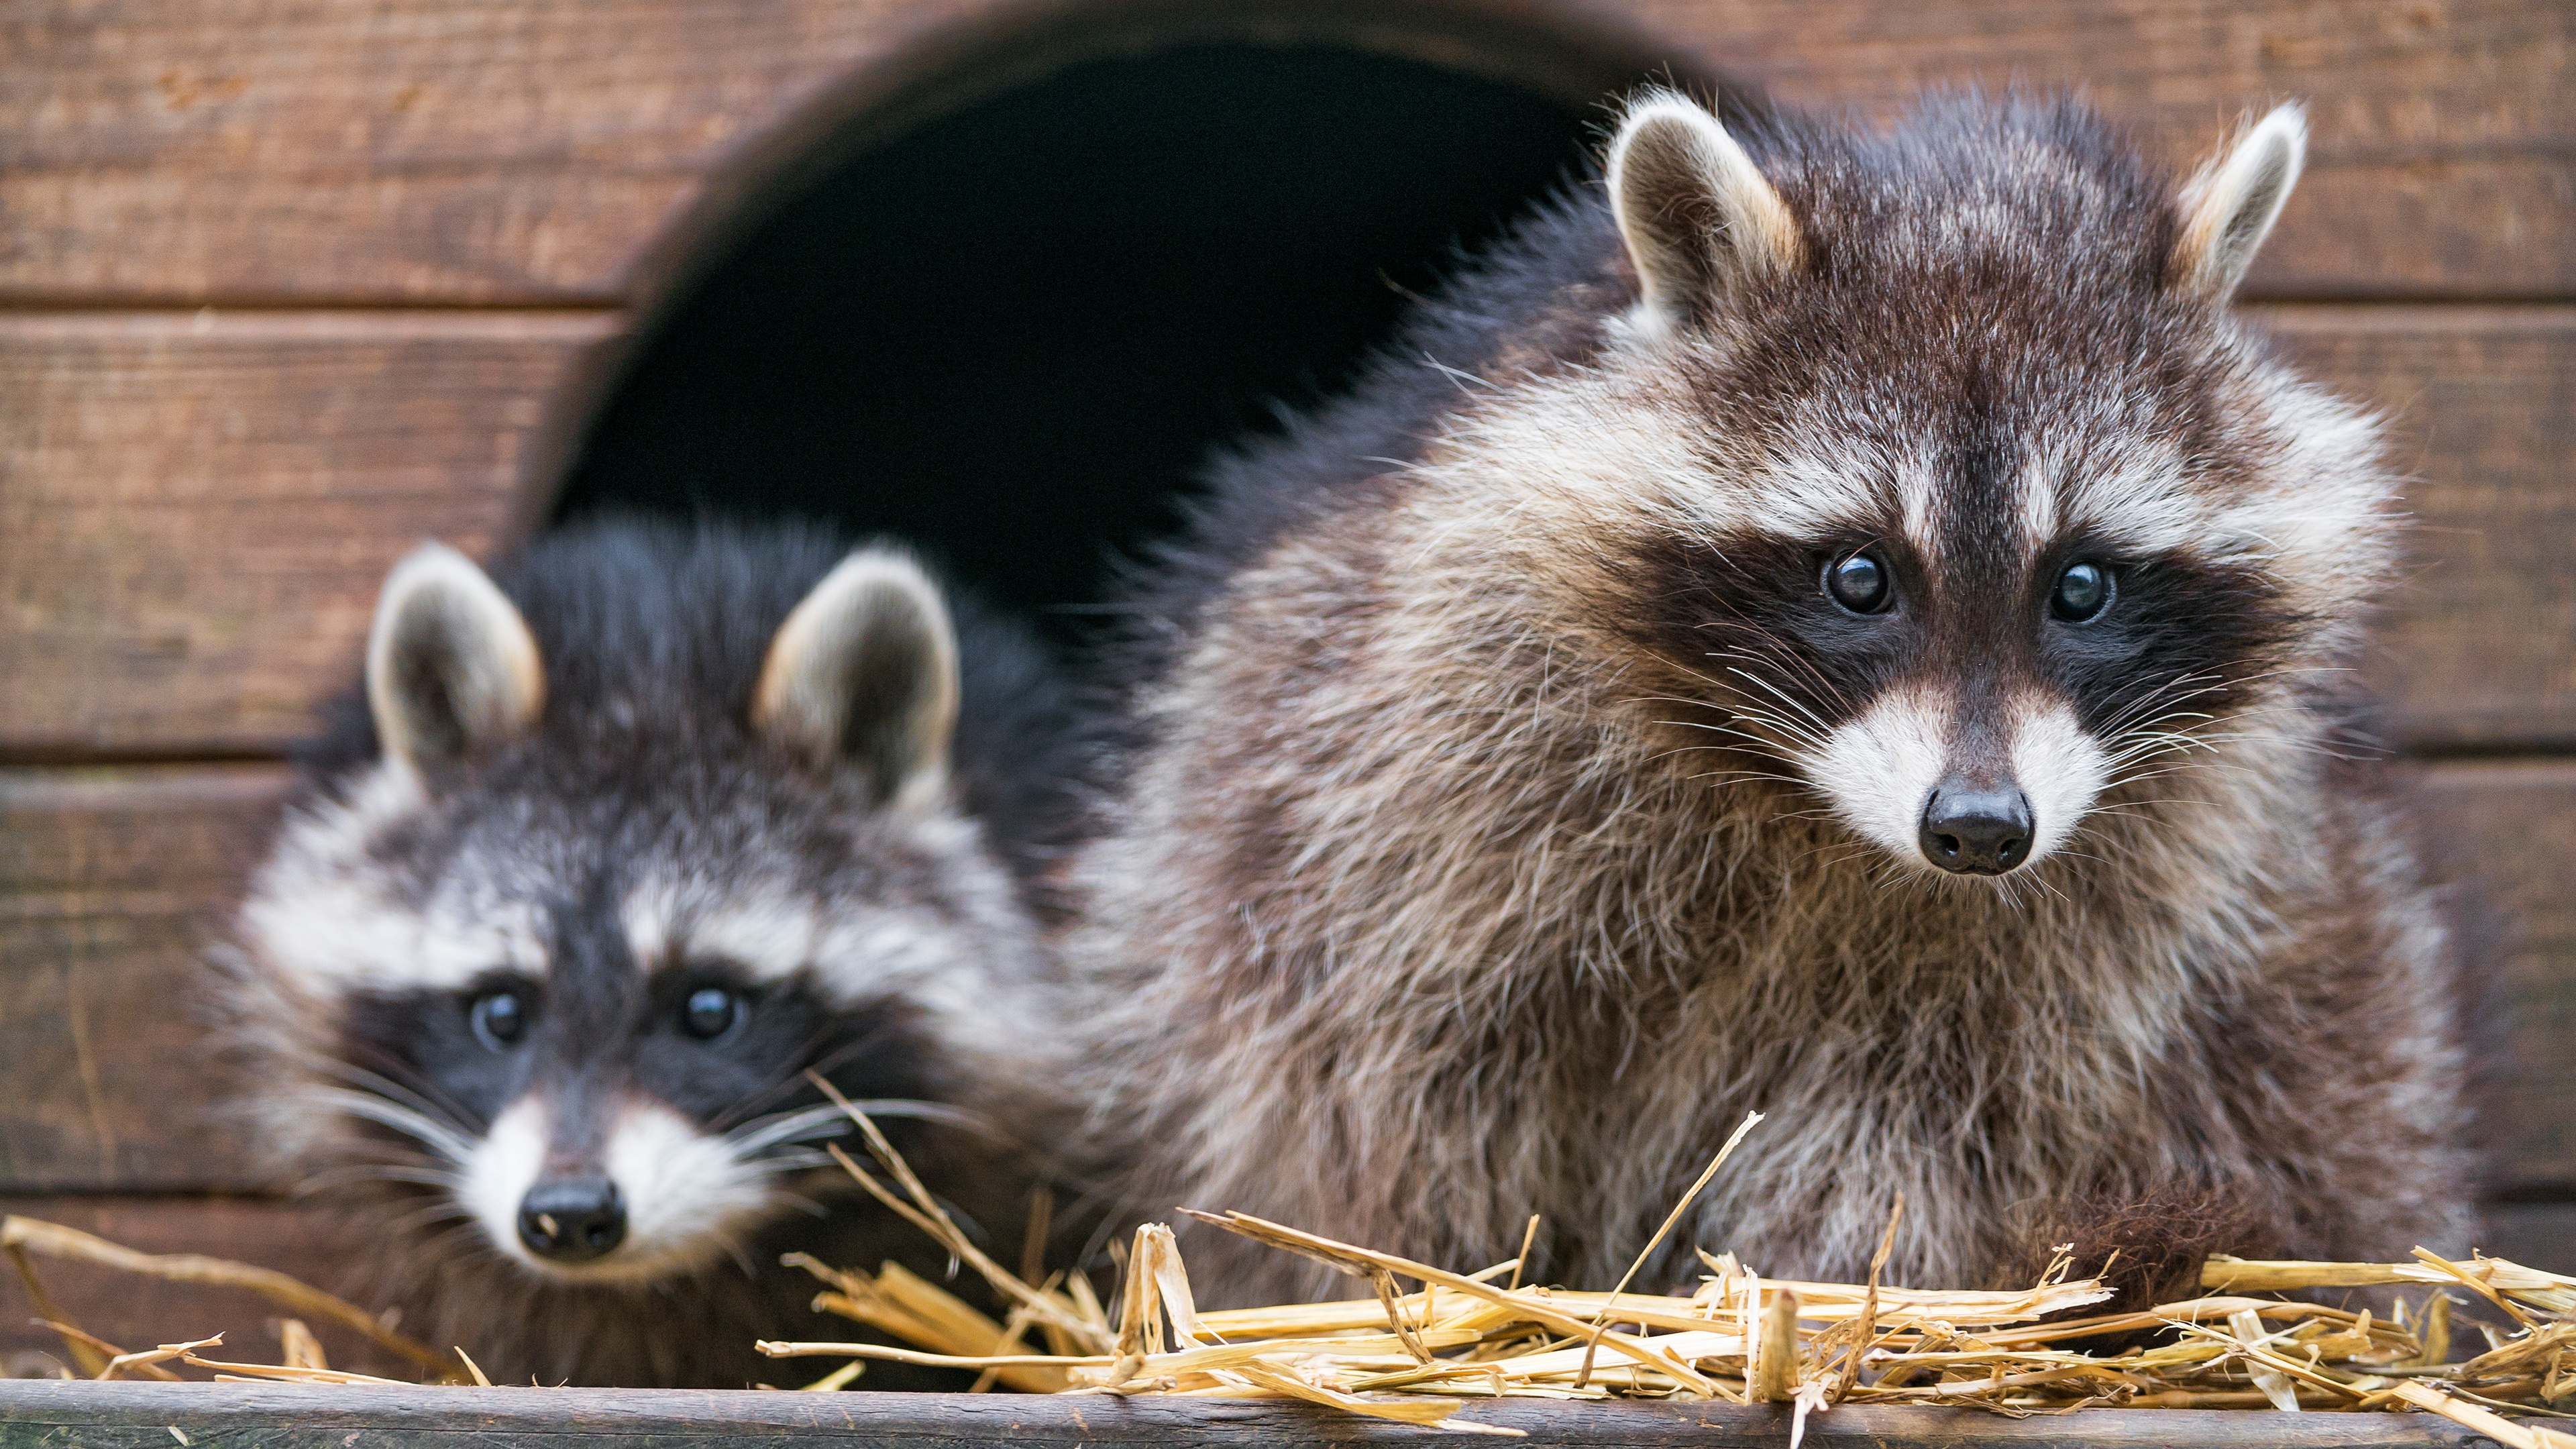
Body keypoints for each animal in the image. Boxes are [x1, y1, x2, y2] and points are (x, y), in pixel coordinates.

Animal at [1066, 93, 2473, 1309]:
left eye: (2082, 585)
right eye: (1859, 576)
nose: (1978, 830)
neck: (1819, 815)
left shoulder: (2123, 903)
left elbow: (1928, 1121)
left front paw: (1833, 1280)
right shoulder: (1405, 762)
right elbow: (1392, 1064)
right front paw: (1423, 1270)